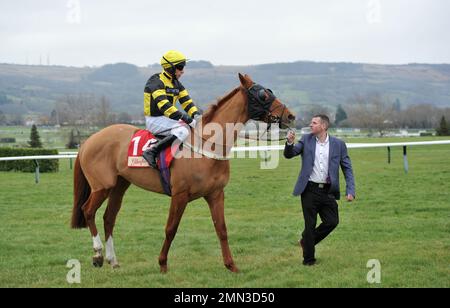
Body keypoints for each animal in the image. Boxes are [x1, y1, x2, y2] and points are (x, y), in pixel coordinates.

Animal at [71, 73, 296, 274]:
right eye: (263, 95)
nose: (290, 115)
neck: (208, 145)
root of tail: (89, 140)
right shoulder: (179, 195)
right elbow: (171, 228)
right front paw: (162, 264)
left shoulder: (216, 194)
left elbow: (221, 229)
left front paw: (231, 265)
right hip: (102, 186)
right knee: (88, 210)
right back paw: (98, 254)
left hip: (119, 185)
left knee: (109, 217)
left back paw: (113, 260)